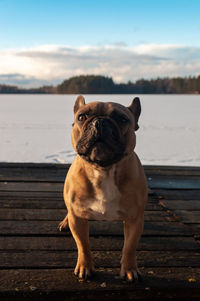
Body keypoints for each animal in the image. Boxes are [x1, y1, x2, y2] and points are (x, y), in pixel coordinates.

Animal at [58, 95, 148, 280]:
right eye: (81, 117)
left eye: (122, 119)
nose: (99, 122)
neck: (103, 170)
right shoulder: (78, 218)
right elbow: (83, 245)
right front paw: (85, 267)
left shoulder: (134, 220)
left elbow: (129, 247)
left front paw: (129, 269)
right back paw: (65, 222)